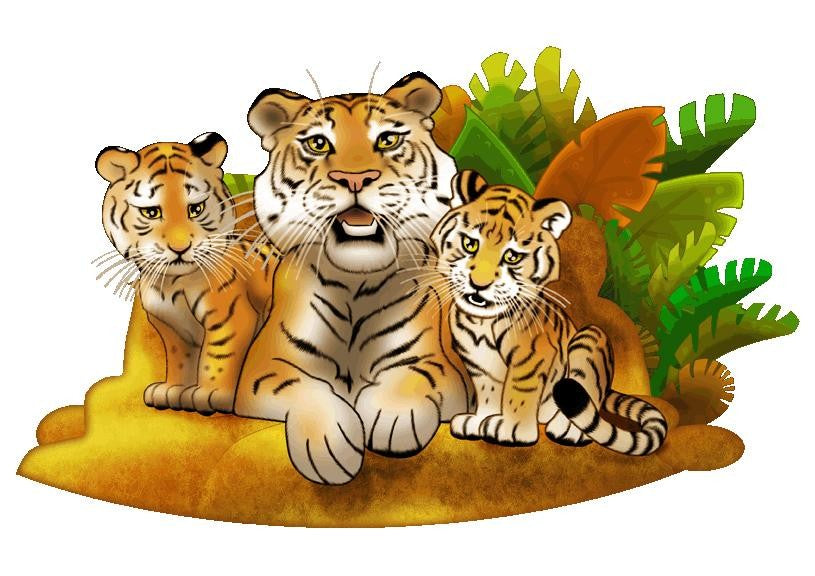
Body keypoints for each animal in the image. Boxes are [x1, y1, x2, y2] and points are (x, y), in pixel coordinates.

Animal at [96, 133, 274, 415]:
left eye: (195, 209)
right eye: (151, 212)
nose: (180, 248)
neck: (172, 284)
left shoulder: (231, 317)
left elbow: (218, 356)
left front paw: (211, 394)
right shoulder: (174, 329)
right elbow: (180, 361)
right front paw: (173, 391)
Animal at [231, 72, 472, 485]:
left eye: (388, 139)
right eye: (317, 143)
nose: (355, 178)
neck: (355, 285)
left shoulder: (439, 364)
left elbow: (412, 377)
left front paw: (393, 418)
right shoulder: (265, 367)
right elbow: (304, 389)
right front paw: (330, 447)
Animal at [431, 170, 668, 454]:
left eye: (511, 257)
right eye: (470, 244)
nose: (479, 284)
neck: (481, 321)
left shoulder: (532, 355)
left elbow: (518, 392)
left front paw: (511, 430)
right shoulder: (478, 362)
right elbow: (488, 391)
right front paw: (480, 421)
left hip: (590, 339)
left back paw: (568, 430)